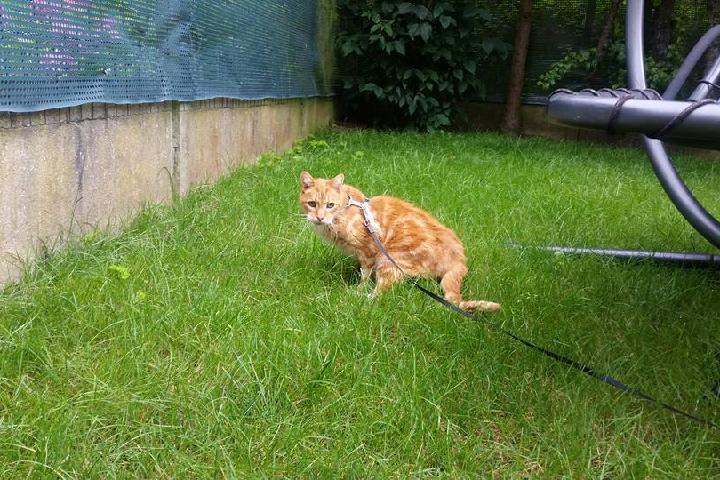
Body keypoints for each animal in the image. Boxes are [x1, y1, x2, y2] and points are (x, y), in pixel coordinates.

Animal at [299, 171, 501, 312]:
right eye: (312, 204)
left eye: (330, 205)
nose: (319, 217)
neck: (346, 210)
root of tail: (459, 260)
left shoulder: (368, 250)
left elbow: (365, 273)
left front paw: (359, 286)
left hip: (390, 260)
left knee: (378, 293)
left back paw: (350, 297)